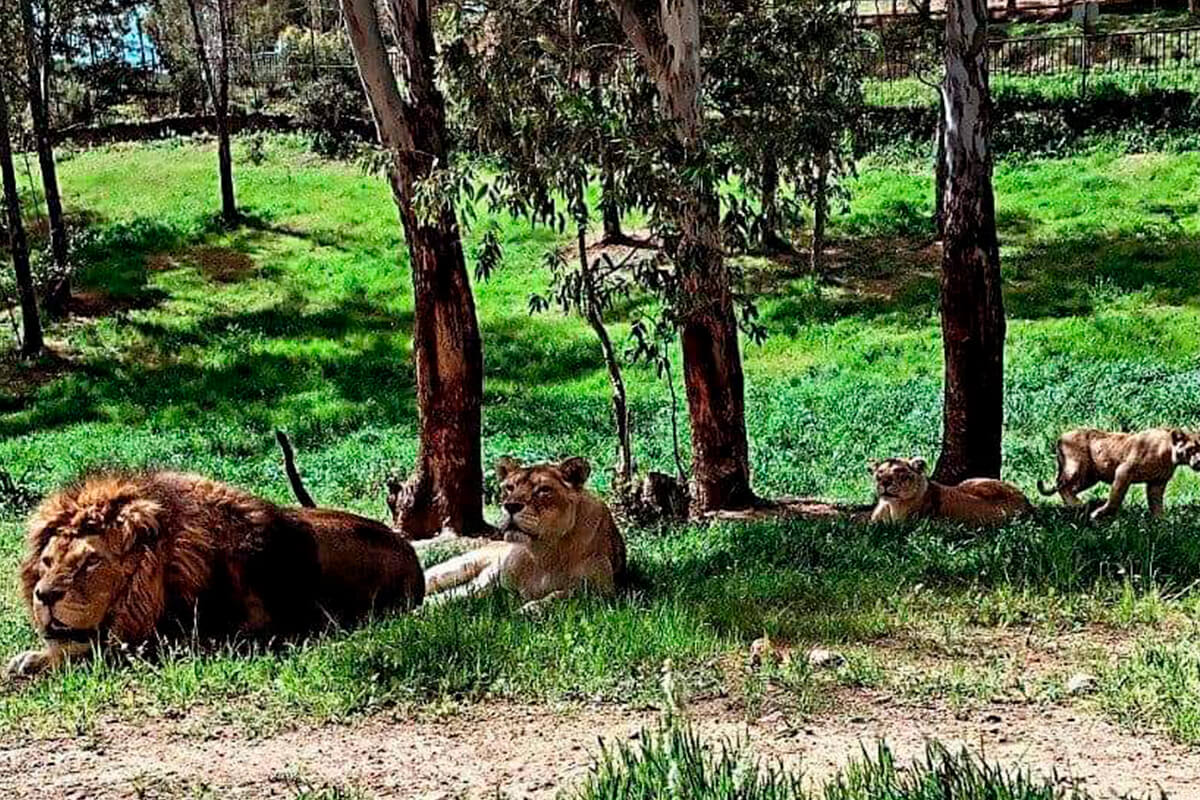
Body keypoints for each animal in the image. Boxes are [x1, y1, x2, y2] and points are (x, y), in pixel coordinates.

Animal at [7, 472, 422, 681]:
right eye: (47, 561)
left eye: (91, 561)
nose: (44, 596)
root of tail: (411, 554)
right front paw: (30, 657)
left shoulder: (225, 639)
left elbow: (109, 652)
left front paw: (43, 661)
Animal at [424, 455, 628, 614]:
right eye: (509, 487)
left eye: (544, 490)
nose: (510, 506)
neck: (543, 551)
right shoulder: (497, 584)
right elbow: (467, 596)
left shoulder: (604, 593)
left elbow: (563, 595)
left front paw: (528, 610)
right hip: (455, 568)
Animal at [1032, 424, 1200, 520]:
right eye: (1191, 449)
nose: (1199, 461)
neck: (1170, 454)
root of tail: (1061, 437)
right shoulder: (1124, 471)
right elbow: (1115, 498)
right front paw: (1099, 514)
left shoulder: (1157, 483)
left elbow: (1156, 504)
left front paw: (1162, 523)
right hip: (1076, 468)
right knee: (1062, 486)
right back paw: (1080, 505)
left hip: (1089, 477)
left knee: (1067, 488)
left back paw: (1078, 506)